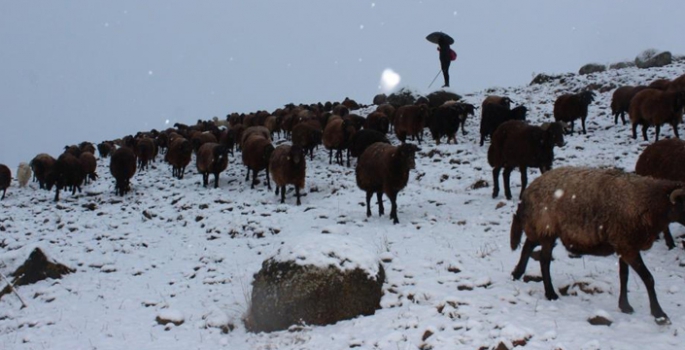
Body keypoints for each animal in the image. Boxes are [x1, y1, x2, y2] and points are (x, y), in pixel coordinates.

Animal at [508, 167, 684, 326]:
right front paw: (660, 315)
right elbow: (648, 278)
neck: (650, 203)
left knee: (528, 245)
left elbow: (624, 275)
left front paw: (625, 306)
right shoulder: (628, 247)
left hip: (541, 228)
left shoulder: (623, 245)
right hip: (546, 229)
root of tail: (527, 192)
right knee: (544, 261)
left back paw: (517, 274)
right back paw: (550, 294)